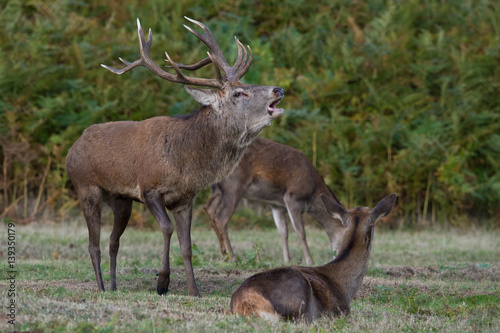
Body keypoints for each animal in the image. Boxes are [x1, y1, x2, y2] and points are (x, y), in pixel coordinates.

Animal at [65, 16, 286, 296]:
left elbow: (187, 246)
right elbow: (166, 228)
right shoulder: (149, 188)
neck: (185, 162)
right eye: (239, 93)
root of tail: (73, 147)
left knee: (113, 241)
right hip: (86, 187)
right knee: (93, 245)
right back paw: (102, 288)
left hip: (120, 200)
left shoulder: (185, 199)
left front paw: (194, 290)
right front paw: (162, 282)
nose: (278, 90)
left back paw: (114, 287)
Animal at [205, 136, 346, 264]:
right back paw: (232, 257)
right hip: (235, 184)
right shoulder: (292, 197)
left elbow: (283, 232)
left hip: (217, 188)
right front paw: (310, 261)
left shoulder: (277, 205)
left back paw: (224, 255)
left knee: (209, 208)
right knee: (221, 219)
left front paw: (287, 260)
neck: (312, 194)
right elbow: (301, 232)